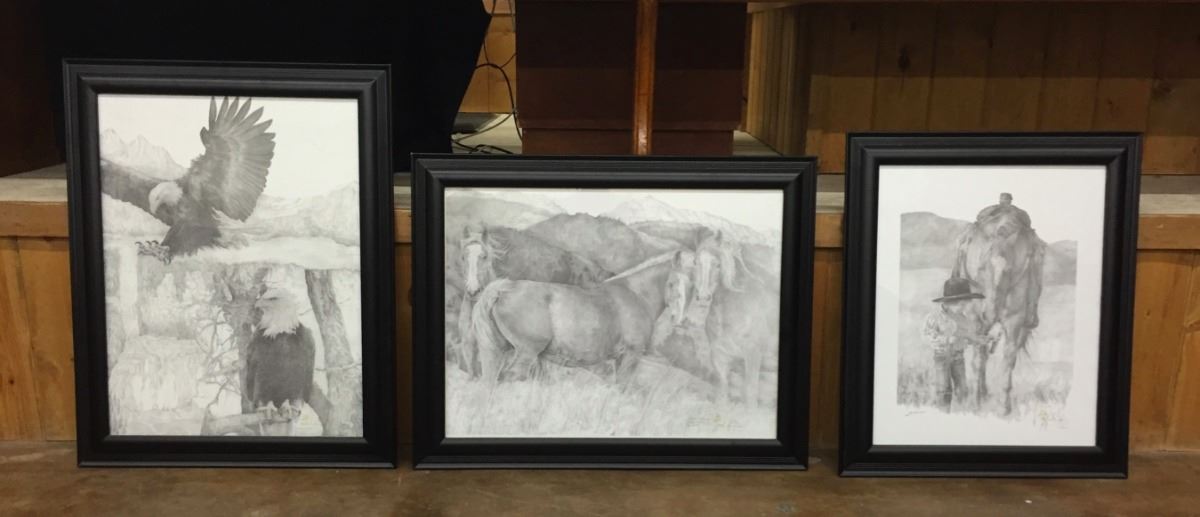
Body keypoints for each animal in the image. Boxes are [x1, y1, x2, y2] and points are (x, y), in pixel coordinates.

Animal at [468, 250, 688, 383]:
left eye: (691, 284)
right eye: (672, 283)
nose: (677, 319)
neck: (636, 294)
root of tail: (504, 288)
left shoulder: (620, 359)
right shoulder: (631, 356)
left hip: (497, 351)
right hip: (526, 353)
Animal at [685, 229, 779, 408]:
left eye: (717, 264)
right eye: (695, 262)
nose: (703, 298)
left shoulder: (752, 356)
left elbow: (750, 393)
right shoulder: (719, 356)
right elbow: (722, 392)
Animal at [951, 193, 1045, 415]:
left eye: (1009, 271)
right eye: (981, 268)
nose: (989, 313)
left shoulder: (1014, 320)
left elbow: (1007, 358)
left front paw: (1003, 408)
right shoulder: (976, 318)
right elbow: (979, 358)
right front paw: (976, 405)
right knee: (983, 354)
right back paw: (980, 395)